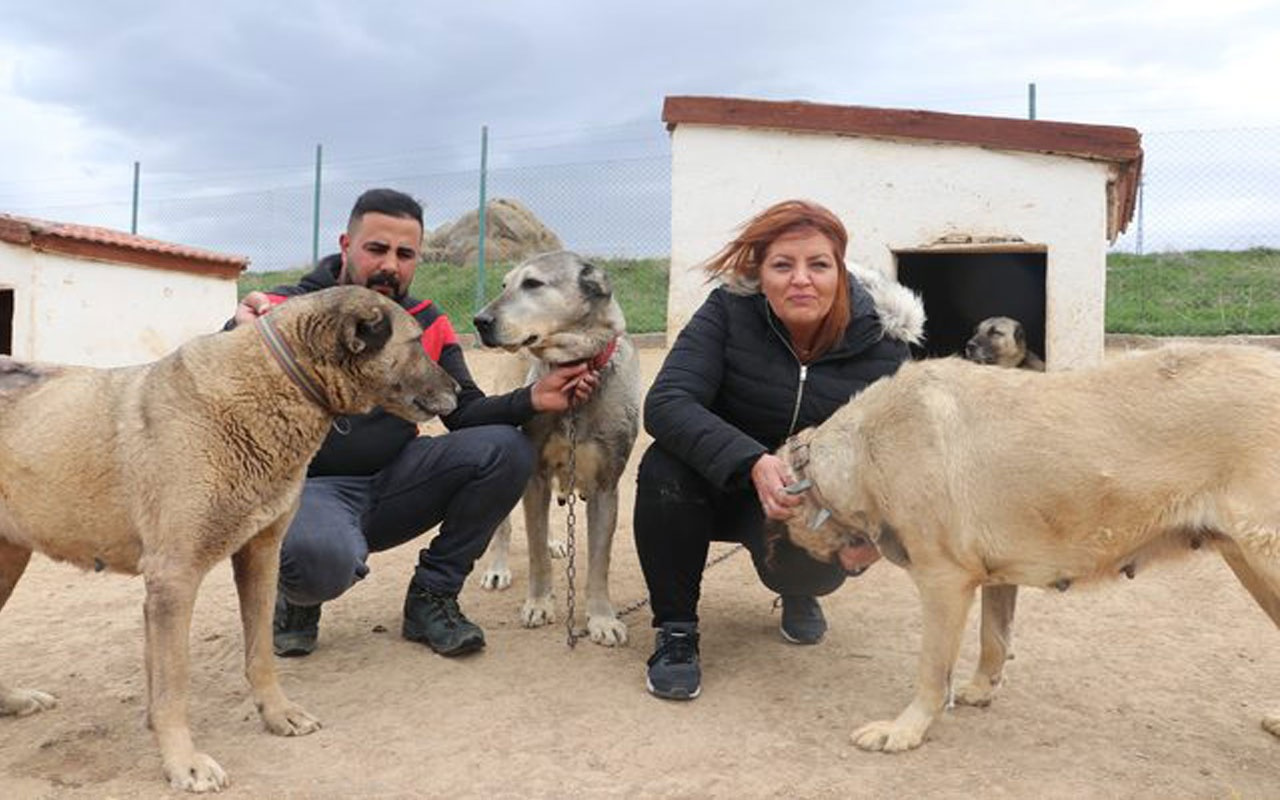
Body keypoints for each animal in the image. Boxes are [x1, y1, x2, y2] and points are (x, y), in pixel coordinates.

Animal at [0, 284, 460, 788]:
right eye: (415, 342)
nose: (459, 387)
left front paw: (276, 714)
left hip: (9, 557)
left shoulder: (260, 555)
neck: (272, 384)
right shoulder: (174, 577)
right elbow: (175, 683)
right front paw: (182, 761)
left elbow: (258, 654)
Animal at [778, 345, 1280, 752]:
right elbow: (994, 637)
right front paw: (981, 689)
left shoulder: (943, 582)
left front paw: (906, 729)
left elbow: (931, 669)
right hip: (1249, 564)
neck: (866, 447)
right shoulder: (996, 577)